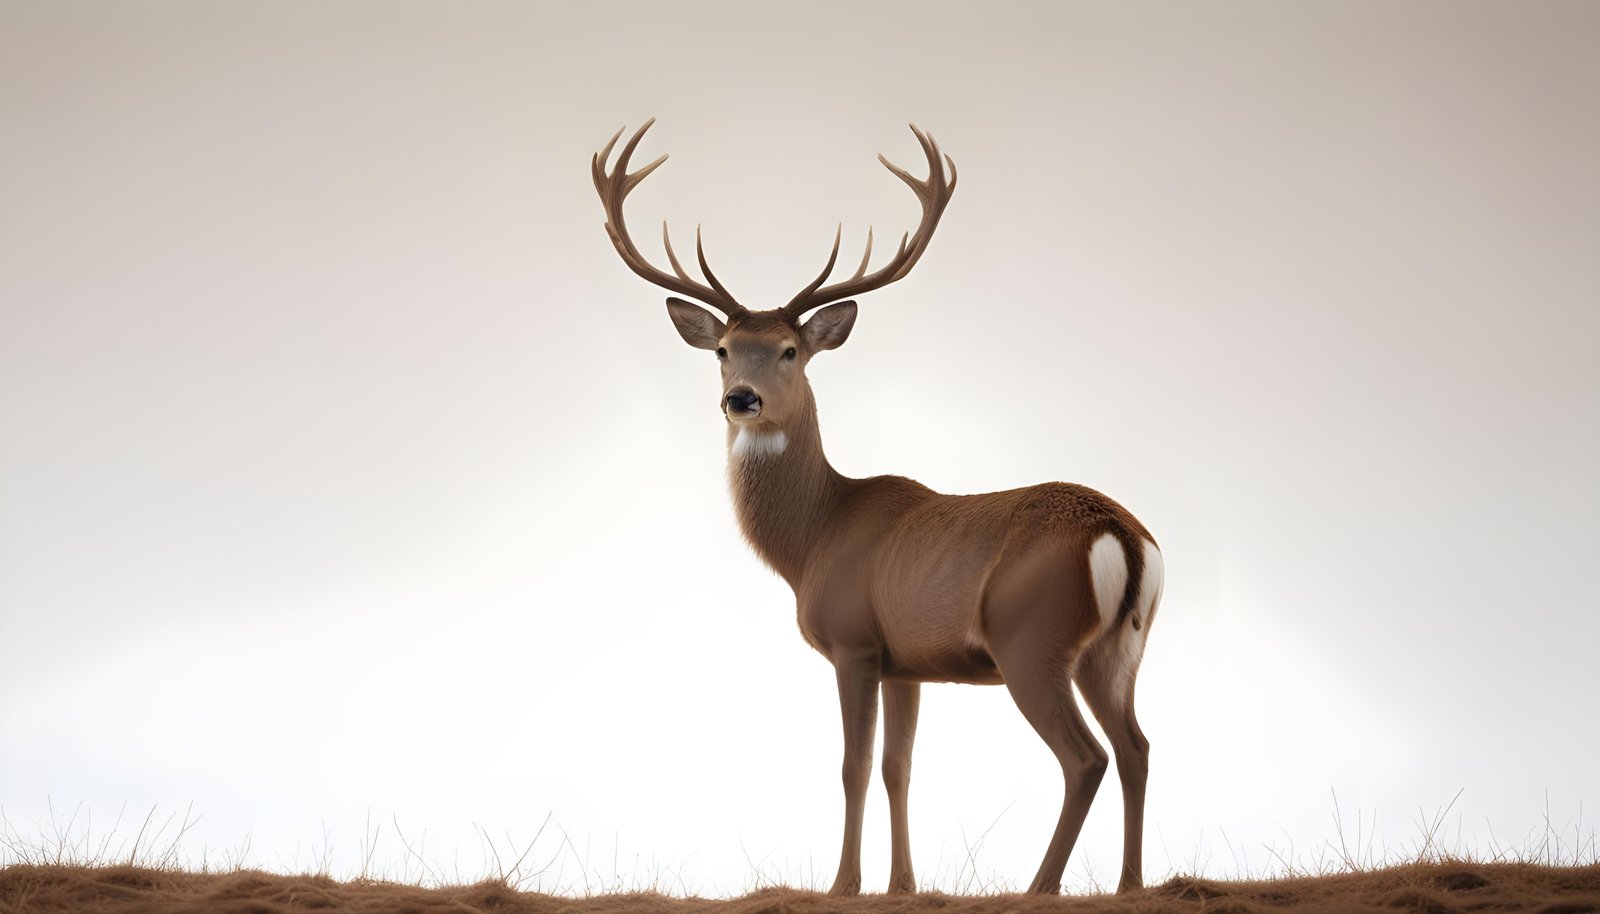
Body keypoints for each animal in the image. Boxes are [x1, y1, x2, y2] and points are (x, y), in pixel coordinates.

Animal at [591, 119, 1163, 897]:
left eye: (790, 349)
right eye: (722, 349)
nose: (741, 399)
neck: (813, 541)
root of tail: (1121, 535)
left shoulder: (855, 641)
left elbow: (853, 766)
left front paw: (843, 883)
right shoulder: (907, 663)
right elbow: (900, 768)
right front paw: (903, 884)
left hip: (1033, 639)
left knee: (1087, 757)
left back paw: (1040, 887)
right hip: (1119, 648)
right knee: (1137, 747)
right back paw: (1131, 884)